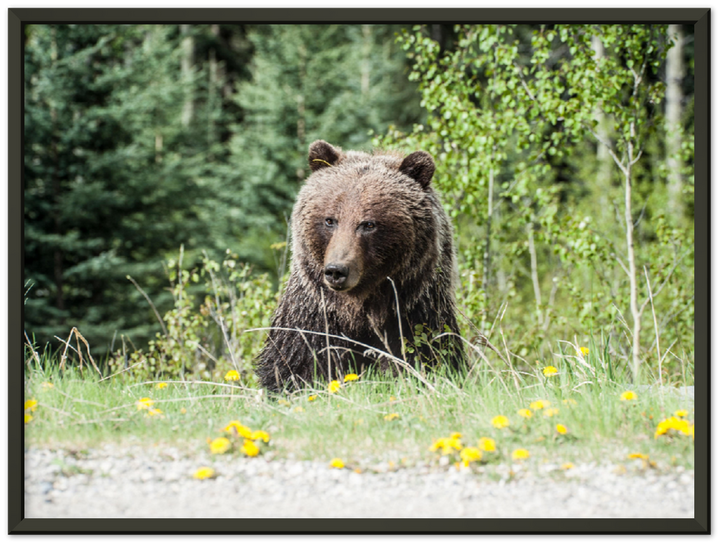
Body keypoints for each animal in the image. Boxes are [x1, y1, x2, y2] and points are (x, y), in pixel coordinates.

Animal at [256, 140, 465, 391]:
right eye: (330, 220)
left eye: (368, 224)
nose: (336, 271)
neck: (359, 309)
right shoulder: (314, 315)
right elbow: (295, 364)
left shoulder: (414, 313)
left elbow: (427, 356)